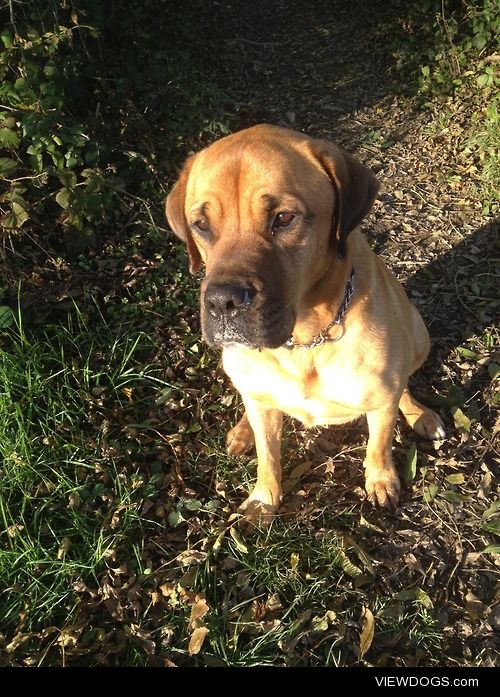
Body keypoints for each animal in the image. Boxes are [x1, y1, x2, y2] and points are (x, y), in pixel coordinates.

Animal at [165, 125, 446, 520]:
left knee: (404, 383)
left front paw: (380, 480)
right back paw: (243, 430)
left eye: (283, 218)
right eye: (201, 225)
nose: (222, 302)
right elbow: (268, 457)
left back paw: (420, 413)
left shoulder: (381, 401)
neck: (305, 340)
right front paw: (264, 498)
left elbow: (378, 445)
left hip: (418, 335)